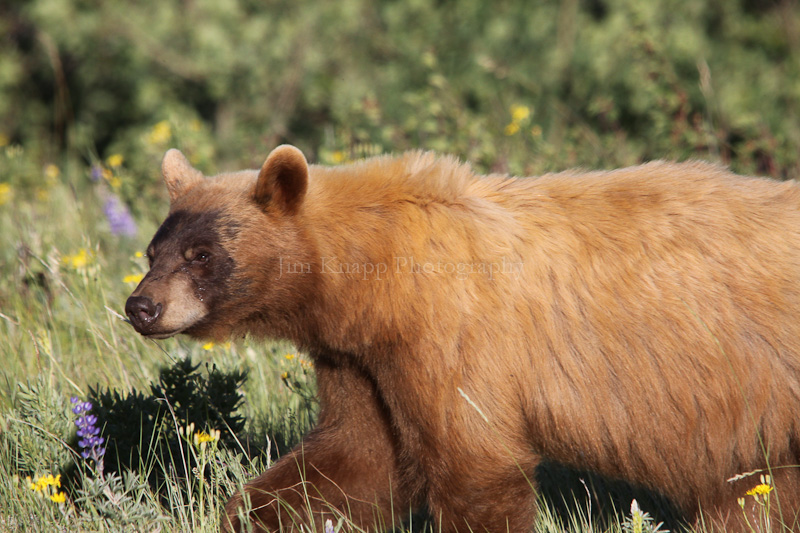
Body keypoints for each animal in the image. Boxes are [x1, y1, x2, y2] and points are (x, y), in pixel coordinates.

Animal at [123, 143, 800, 528]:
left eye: (202, 254)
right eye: (155, 250)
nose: (141, 306)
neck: (373, 274)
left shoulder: (448, 335)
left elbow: (473, 466)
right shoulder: (364, 362)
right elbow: (353, 459)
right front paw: (248, 514)